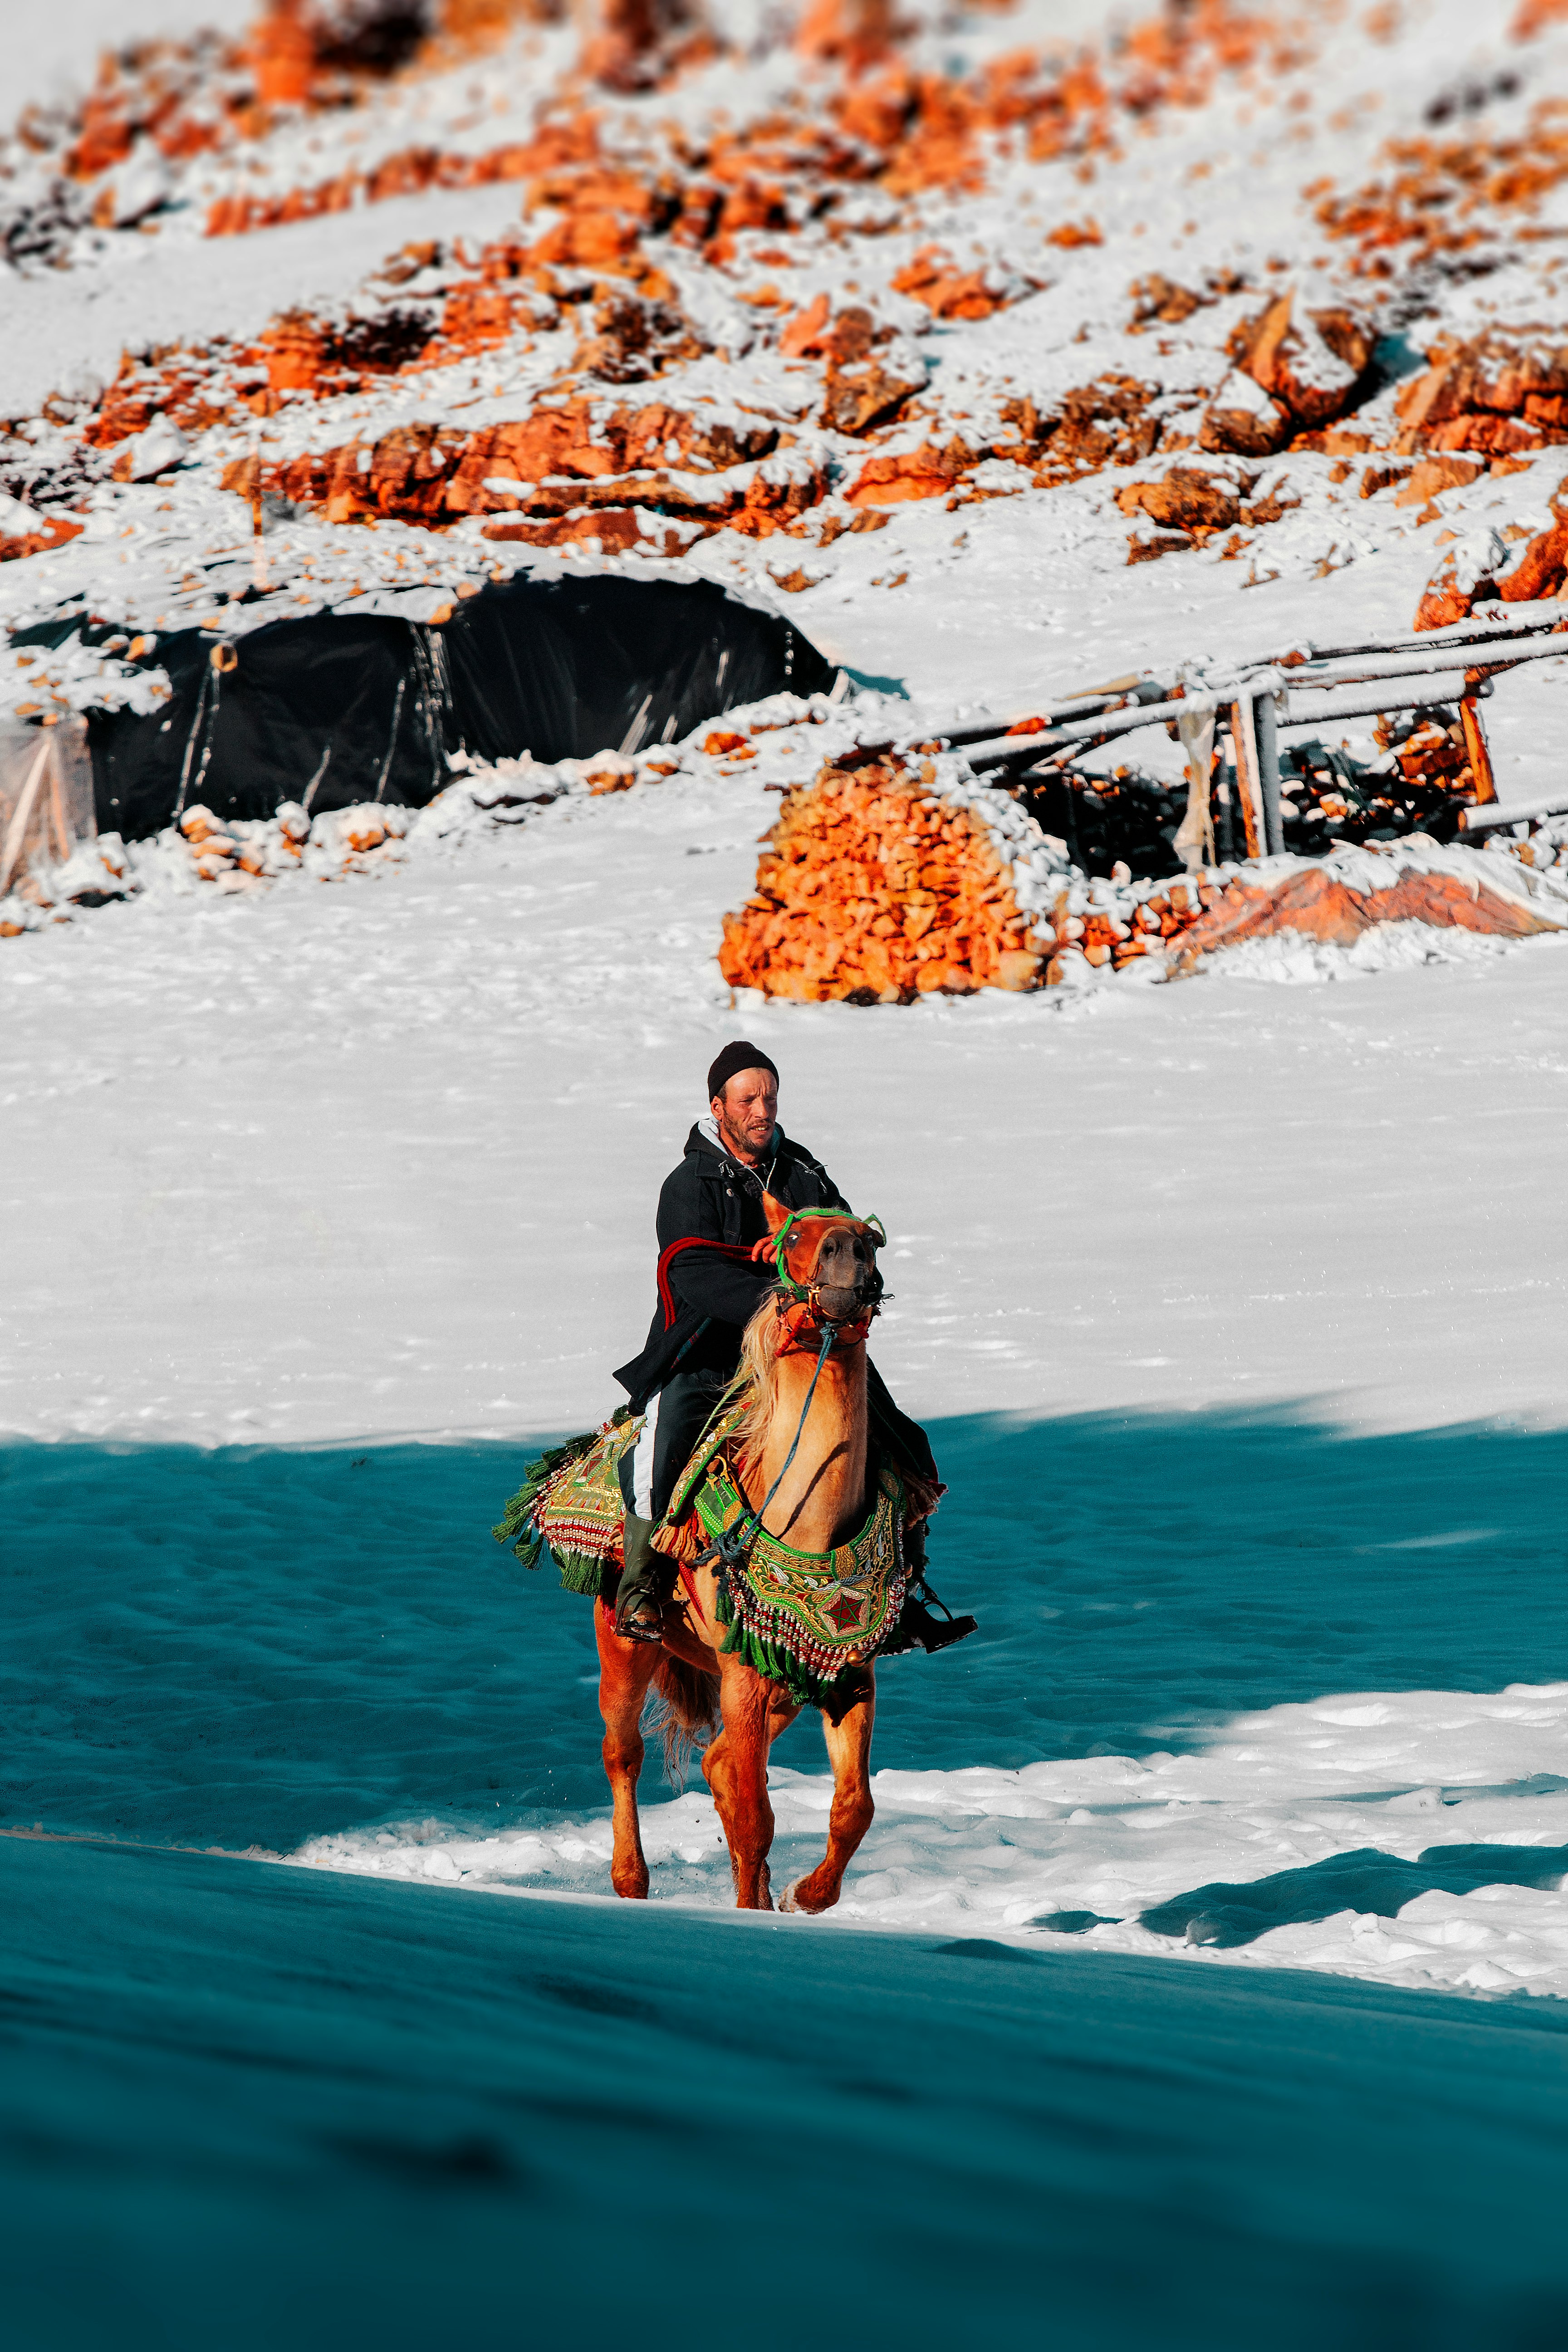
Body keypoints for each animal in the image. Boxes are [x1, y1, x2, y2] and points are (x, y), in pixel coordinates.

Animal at [597, 1195, 893, 1910]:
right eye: (794, 1237)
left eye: (872, 1239)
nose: (849, 1254)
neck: (803, 1523)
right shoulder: (742, 1680)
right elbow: (758, 1815)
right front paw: (761, 1916)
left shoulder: (848, 1675)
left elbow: (854, 1807)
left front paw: (802, 1897)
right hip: (625, 1647)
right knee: (626, 1755)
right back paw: (631, 1882)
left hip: (783, 1687)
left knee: (719, 1764)